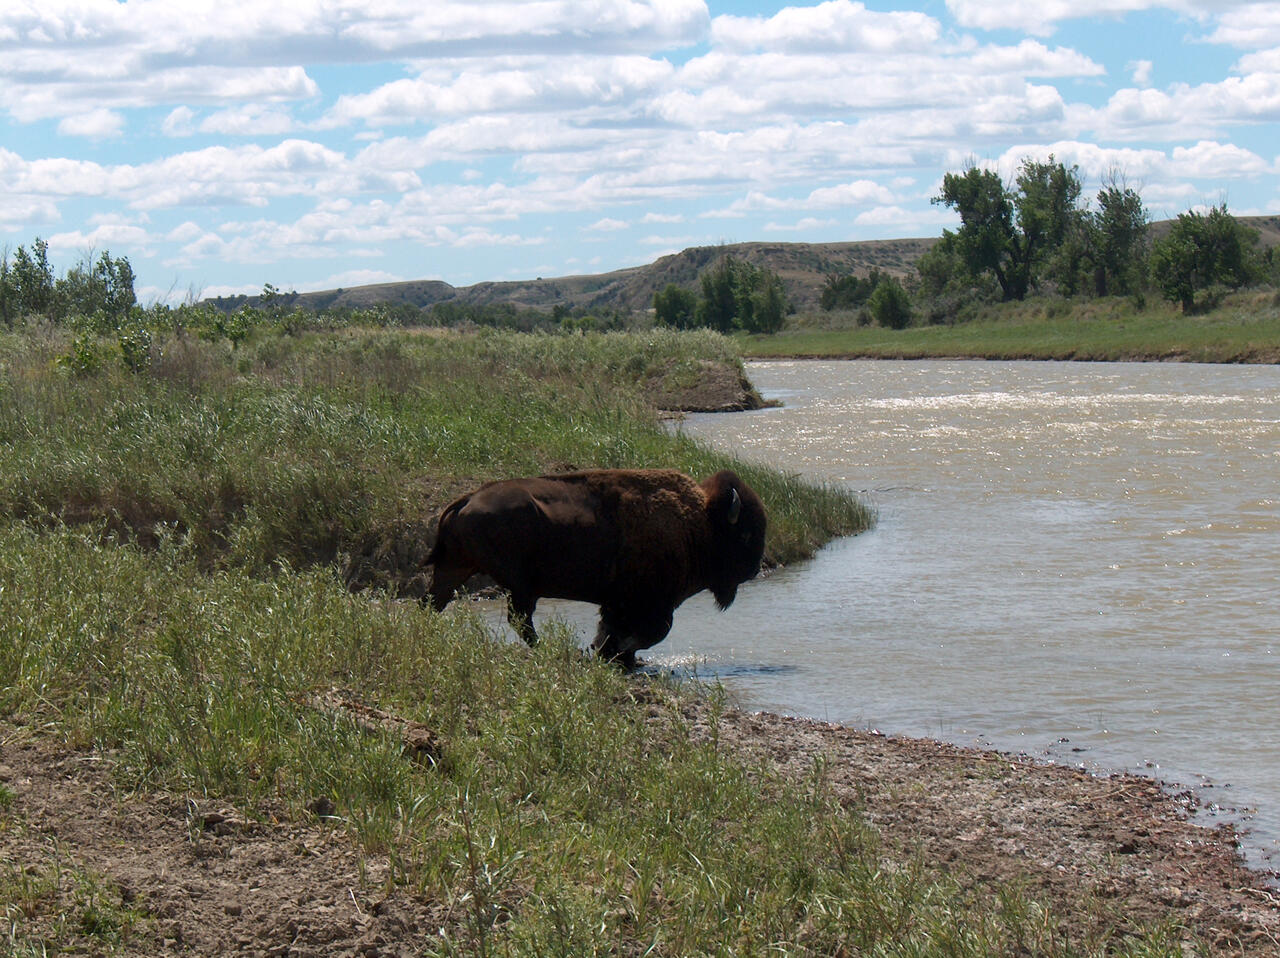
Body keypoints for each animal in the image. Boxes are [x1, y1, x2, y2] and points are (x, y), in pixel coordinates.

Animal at [425, 468, 767, 668]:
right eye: (746, 534)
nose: (753, 569)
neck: (700, 522)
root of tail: (468, 498)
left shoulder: (619, 603)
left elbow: (616, 627)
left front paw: (614, 654)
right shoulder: (650, 603)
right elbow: (652, 632)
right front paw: (614, 652)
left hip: (456, 568)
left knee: (435, 602)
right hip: (520, 585)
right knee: (520, 620)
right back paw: (552, 650)